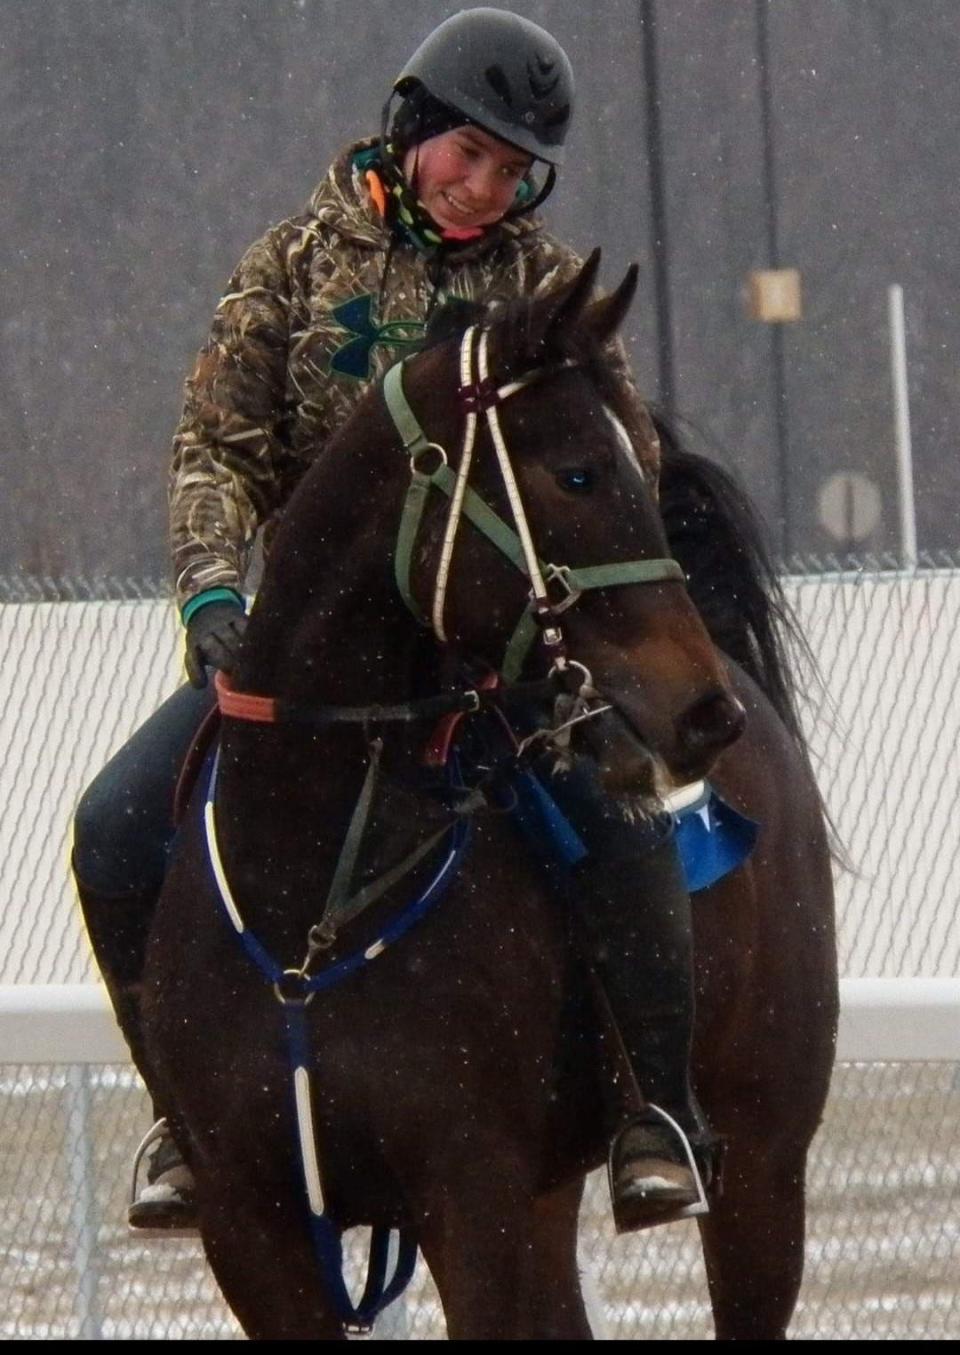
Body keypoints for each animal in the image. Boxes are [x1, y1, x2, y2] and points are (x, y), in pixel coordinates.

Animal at [138, 249, 835, 1338]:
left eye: (639, 458)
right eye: (578, 470)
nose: (701, 711)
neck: (313, 891)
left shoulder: (471, 1196)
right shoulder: (253, 1225)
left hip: (764, 1160)